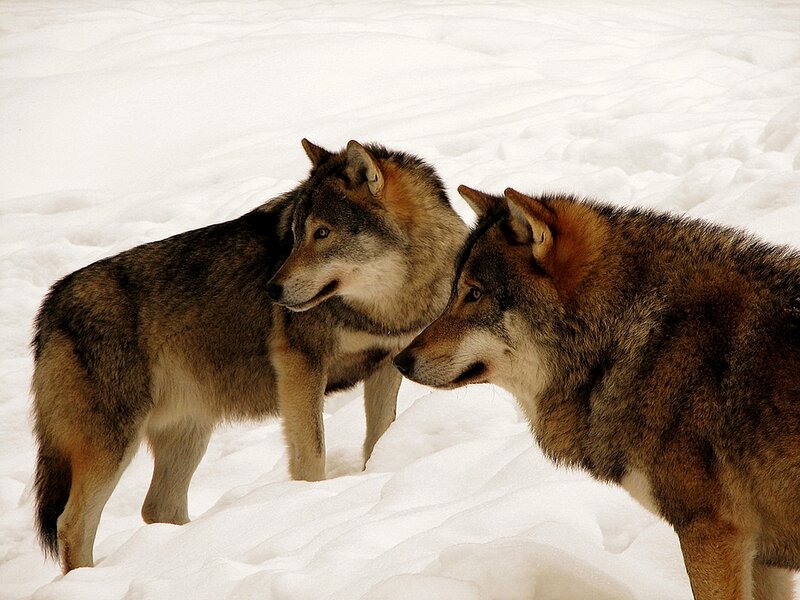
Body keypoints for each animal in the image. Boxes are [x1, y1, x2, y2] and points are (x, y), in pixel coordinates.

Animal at [31, 139, 467, 573]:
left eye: (322, 233)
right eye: (295, 235)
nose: (271, 289)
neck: (387, 306)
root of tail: (50, 307)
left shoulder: (387, 363)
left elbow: (378, 438)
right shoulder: (300, 367)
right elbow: (312, 456)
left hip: (189, 431)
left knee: (158, 507)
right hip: (115, 443)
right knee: (73, 523)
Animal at [394, 185, 800, 599]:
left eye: (474, 294)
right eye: (454, 292)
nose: (400, 360)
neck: (633, 338)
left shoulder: (710, 532)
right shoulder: (761, 554)